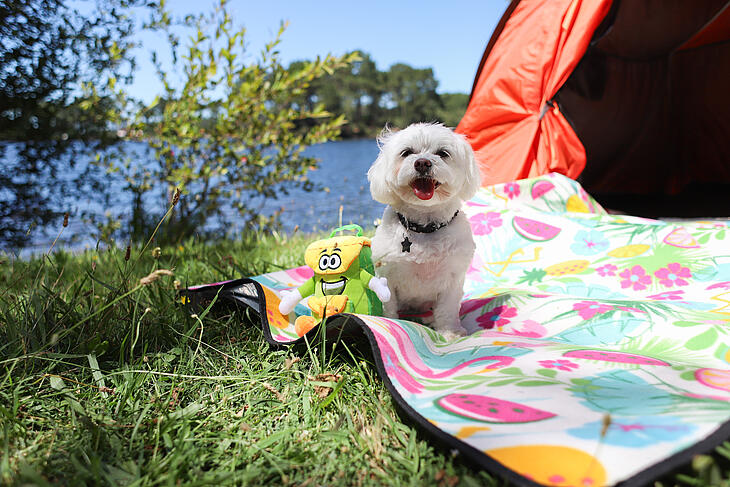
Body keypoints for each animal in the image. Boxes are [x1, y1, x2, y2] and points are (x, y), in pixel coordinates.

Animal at [366, 122, 480, 338]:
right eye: (406, 152)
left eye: (443, 153)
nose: (422, 163)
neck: (425, 226)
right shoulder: (386, 274)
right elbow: (388, 306)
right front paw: (390, 324)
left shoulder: (452, 278)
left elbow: (447, 309)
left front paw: (450, 333)